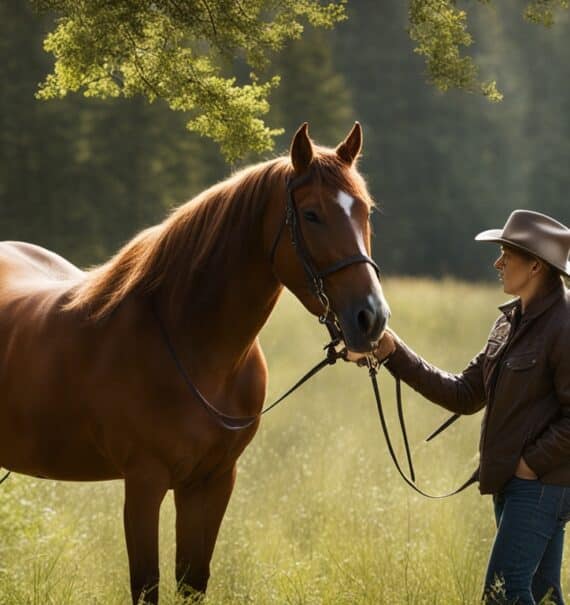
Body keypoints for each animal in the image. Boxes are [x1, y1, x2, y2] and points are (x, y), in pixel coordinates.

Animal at [0, 120, 386, 600]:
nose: (371, 317)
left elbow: (191, 581)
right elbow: (147, 584)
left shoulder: (212, 482)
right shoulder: (144, 483)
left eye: (365, 211)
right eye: (312, 214)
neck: (191, 346)